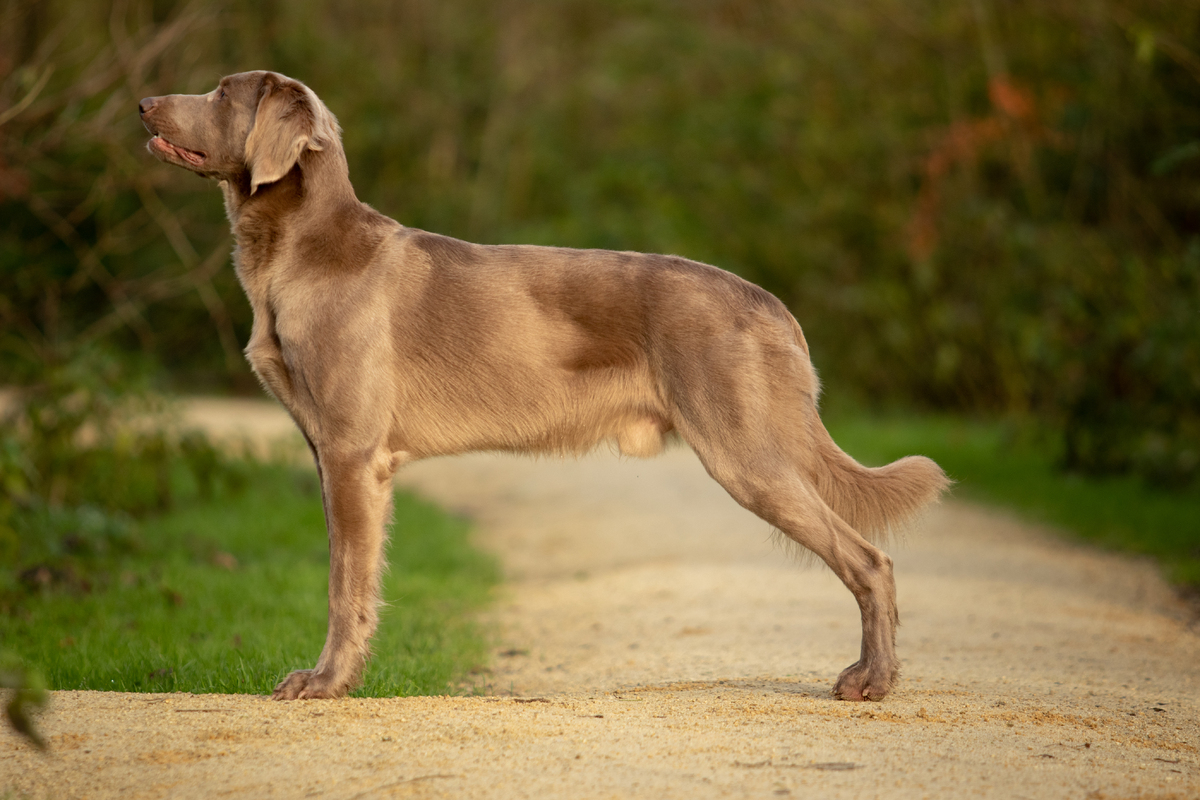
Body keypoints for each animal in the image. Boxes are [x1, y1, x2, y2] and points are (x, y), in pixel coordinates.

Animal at [138, 71, 945, 705]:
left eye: (221, 91)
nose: (144, 103)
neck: (302, 251)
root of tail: (771, 304)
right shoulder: (333, 454)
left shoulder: (350, 453)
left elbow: (345, 583)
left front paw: (326, 682)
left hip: (746, 452)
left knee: (870, 560)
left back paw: (872, 681)